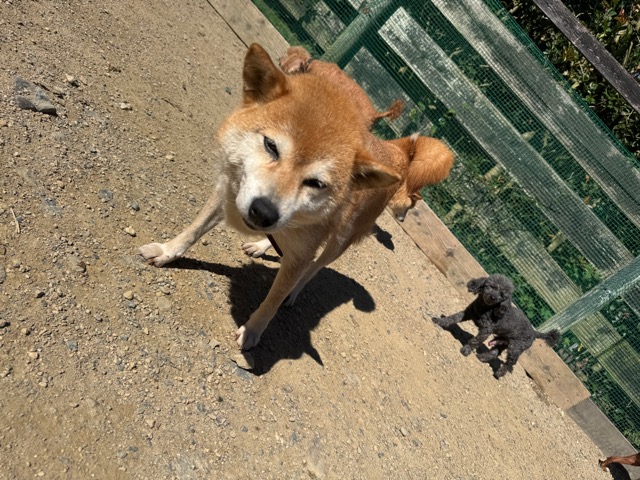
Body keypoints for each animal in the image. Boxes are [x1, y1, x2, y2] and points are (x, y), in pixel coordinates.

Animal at [139, 44, 450, 350]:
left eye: (316, 183)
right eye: (270, 145)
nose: (263, 212)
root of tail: (397, 150)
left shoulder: (299, 254)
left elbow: (274, 298)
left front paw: (253, 330)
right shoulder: (228, 193)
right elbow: (193, 231)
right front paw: (166, 251)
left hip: (339, 243)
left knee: (314, 269)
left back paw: (295, 289)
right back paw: (262, 244)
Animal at [432, 274, 561, 378]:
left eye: (502, 295)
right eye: (492, 286)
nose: (493, 297)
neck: (485, 308)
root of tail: (535, 333)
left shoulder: (486, 330)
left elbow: (475, 341)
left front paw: (465, 350)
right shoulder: (468, 313)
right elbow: (453, 318)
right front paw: (439, 321)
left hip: (515, 348)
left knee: (510, 364)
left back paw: (499, 373)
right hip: (504, 341)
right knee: (495, 352)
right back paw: (482, 358)